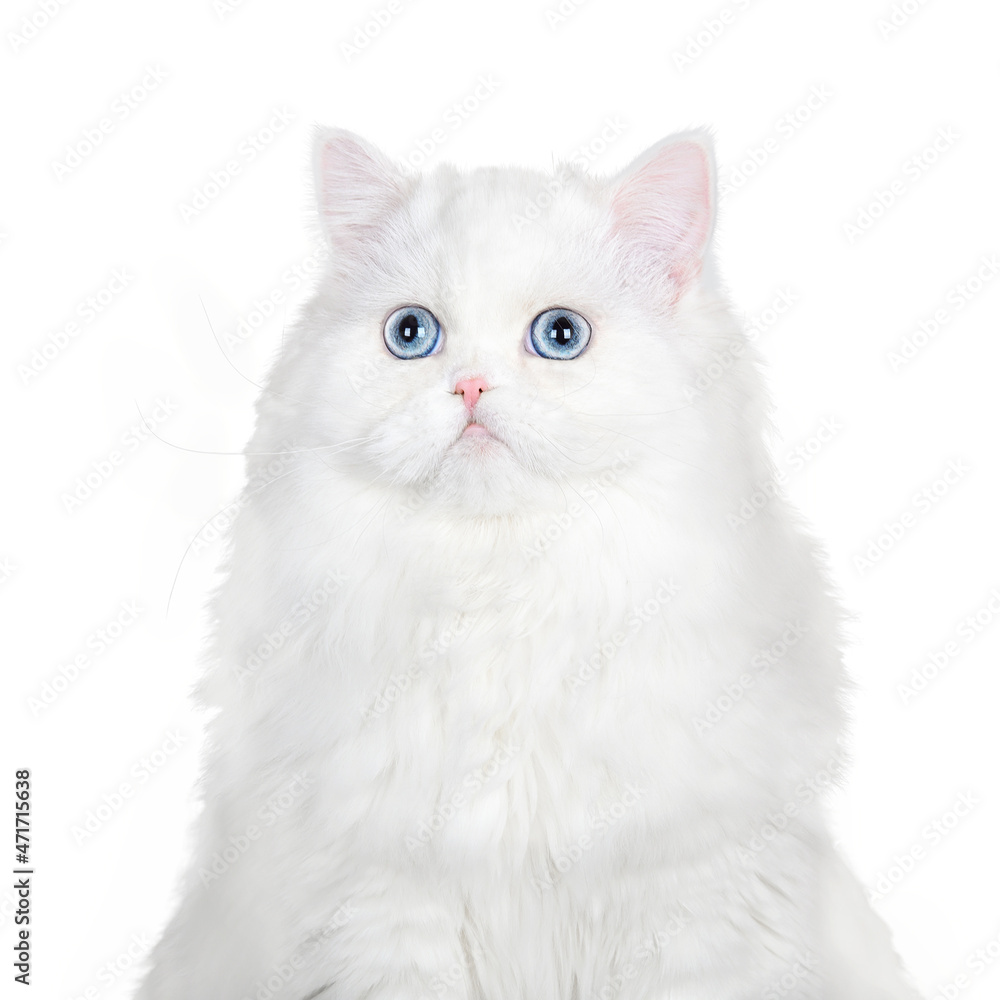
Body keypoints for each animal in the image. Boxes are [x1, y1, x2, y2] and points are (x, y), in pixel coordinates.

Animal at [137, 129, 924, 996]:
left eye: (560, 336)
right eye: (411, 334)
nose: (471, 387)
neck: (504, 592)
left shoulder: (699, 903)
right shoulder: (379, 918)